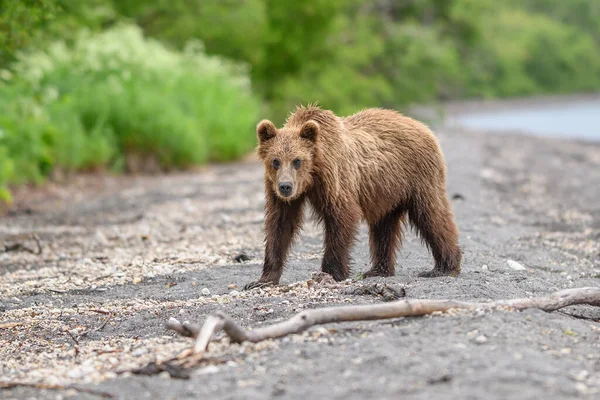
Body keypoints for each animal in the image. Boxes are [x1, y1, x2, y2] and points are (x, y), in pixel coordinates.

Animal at [244, 104, 460, 290]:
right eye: (275, 161)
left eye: (297, 160)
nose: (285, 187)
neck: (312, 176)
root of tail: (423, 127)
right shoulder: (278, 193)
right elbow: (280, 227)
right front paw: (261, 280)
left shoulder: (335, 179)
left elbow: (342, 216)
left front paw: (330, 274)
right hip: (385, 192)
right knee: (383, 227)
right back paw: (377, 270)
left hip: (419, 177)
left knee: (431, 215)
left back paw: (443, 267)